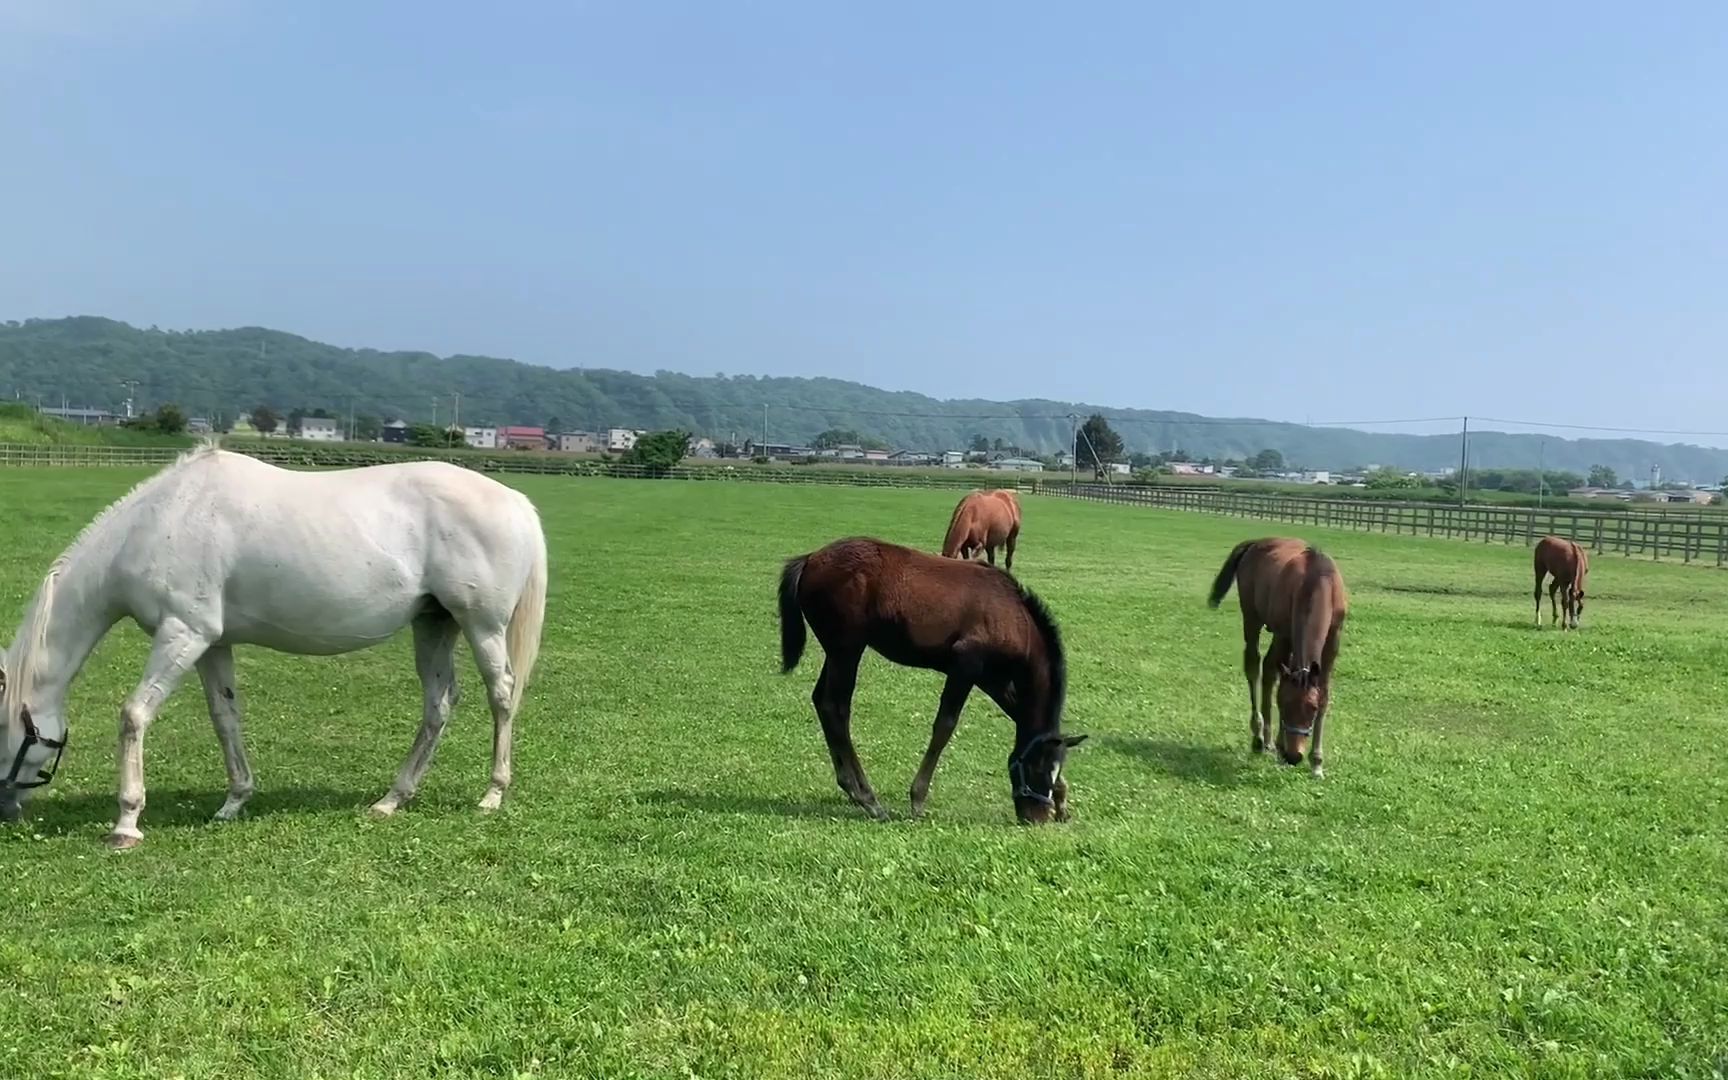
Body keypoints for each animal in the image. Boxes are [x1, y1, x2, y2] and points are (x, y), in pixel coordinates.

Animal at [0, 442, 546, 846]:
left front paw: (126, 824)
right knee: (439, 703)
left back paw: (492, 794)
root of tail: (517, 501)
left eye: (4, 730)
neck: (159, 522)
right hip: (434, 624)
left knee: (501, 694)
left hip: (482, 625)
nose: (5, 811)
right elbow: (225, 717)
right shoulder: (210, 643)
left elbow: (134, 715)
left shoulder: (183, 633)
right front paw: (234, 801)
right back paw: (392, 799)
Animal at [781, 535, 1085, 822]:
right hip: (847, 650)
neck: (1013, 616)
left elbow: (1019, 714)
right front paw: (917, 798)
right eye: (1036, 767)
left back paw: (851, 789)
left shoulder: (991, 678)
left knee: (822, 701)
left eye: (1054, 769)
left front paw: (1062, 801)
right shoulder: (966, 665)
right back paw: (867, 797)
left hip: (837, 652)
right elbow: (944, 726)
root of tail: (810, 559)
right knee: (836, 707)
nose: (1037, 818)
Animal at [1202, 535, 1347, 774]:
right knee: (1256, 666)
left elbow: (1324, 692)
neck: (1317, 581)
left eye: (1312, 708)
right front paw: (1280, 745)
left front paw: (1317, 762)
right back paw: (1260, 738)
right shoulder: (1284, 634)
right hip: (1252, 618)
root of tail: (1255, 542)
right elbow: (1275, 676)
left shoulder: (1333, 639)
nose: (1294, 756)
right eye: (1284, 705)